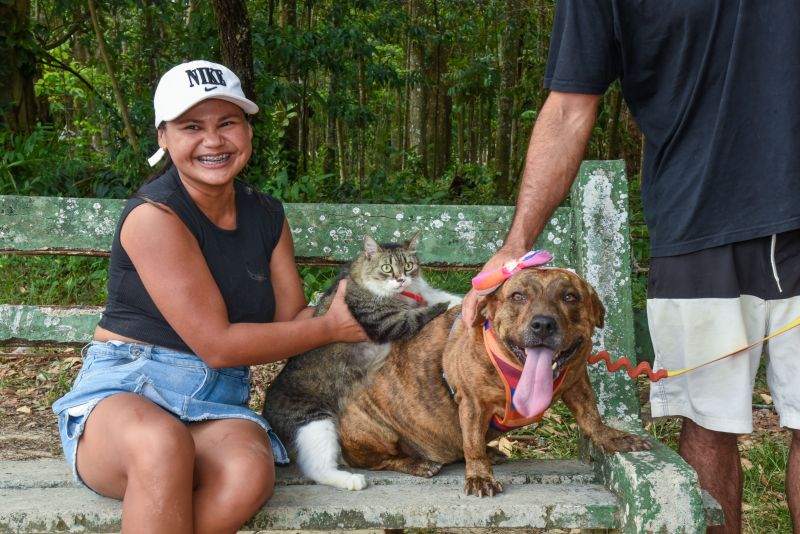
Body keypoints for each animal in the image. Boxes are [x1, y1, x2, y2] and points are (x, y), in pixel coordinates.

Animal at [264, 237, 460, 492]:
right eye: (387, 268)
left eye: (408, 266)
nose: (400, 279)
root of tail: (266, 408)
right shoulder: (388, 323)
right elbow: (420, 313)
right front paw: (444, 305)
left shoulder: (418, 291)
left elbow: (436, 294)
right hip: (315, 422)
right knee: (317, 469)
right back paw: (352, 480)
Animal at [338, 268, 648, 498]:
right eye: (518, 296)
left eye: (570, 296)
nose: (543, 324)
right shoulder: (473, 404)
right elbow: (472, 444)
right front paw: (480, 476)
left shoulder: (577, 381)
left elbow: (590, 416)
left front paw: (610, 436)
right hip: (372, 430)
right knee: (381, 461)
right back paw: (418, 463)